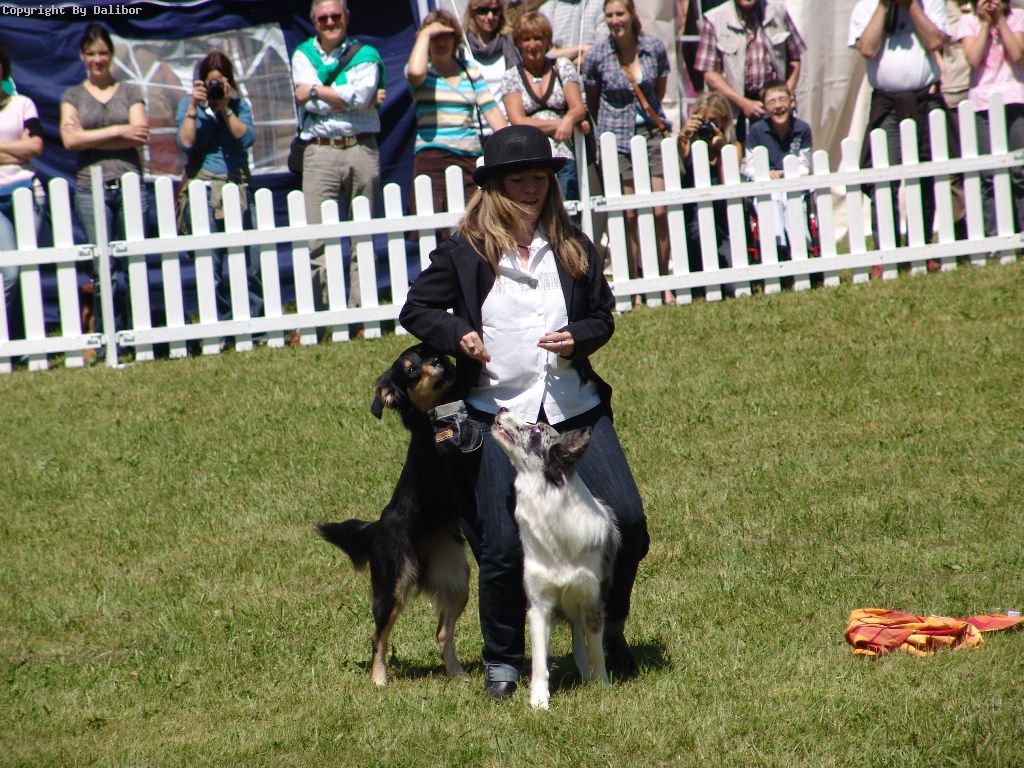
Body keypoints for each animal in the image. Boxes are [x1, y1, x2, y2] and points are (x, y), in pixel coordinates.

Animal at [317, 344, 470, 686]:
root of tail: (377, 528)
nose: (439, 361)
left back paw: (457, 673)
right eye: (411, 370)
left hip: (458, 580)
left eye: (431, 351)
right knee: (378, 638)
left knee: (441, 633)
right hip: (391, 589)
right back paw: (379, 679)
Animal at [490, 408, 621, 709]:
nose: (501, 409)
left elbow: (596, 651)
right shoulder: (539, 605)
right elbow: (540, 660)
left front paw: (602, 686)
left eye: (538, 430)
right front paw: (539, 701)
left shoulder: (592, 600)